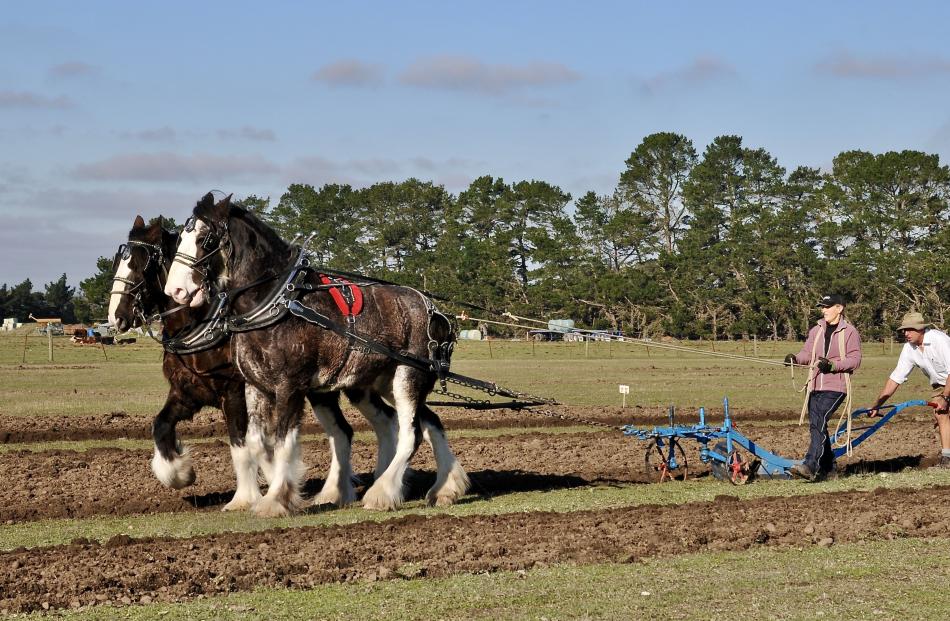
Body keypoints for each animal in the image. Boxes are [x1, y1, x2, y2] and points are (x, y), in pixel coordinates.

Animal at [109, 214, 404, 508]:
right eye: (117, 262)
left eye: (140, 264)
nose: (116, 317)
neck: (205, 323)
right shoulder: (187, 392)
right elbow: (161, 425)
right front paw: (179, 473)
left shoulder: (235, 392)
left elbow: (244, 445)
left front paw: (249, 496)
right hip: (337, 388)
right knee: (365, 426)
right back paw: (356, 486)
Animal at [167, 193, 472, 512]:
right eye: (179, 240)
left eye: (205, 239)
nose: (175, 291)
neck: (277, 304)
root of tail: (437, 311)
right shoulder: (255, 387)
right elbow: (256, 442)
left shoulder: (290, 386)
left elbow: (283, 442)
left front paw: (275, 500)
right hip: (386, 382)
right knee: (429, 422)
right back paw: (445, 487)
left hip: (409, 377)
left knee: (410, 434)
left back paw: (382, 492)